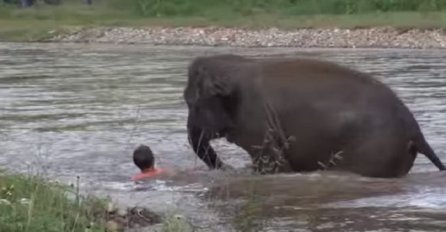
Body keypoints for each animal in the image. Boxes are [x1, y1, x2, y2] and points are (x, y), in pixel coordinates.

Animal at [182, 54, 446, 178]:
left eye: (190, 103)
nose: (226, 169)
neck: (235, 66)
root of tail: (415, 131)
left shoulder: (256, 122)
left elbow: (274, 165)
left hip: (375, 150)